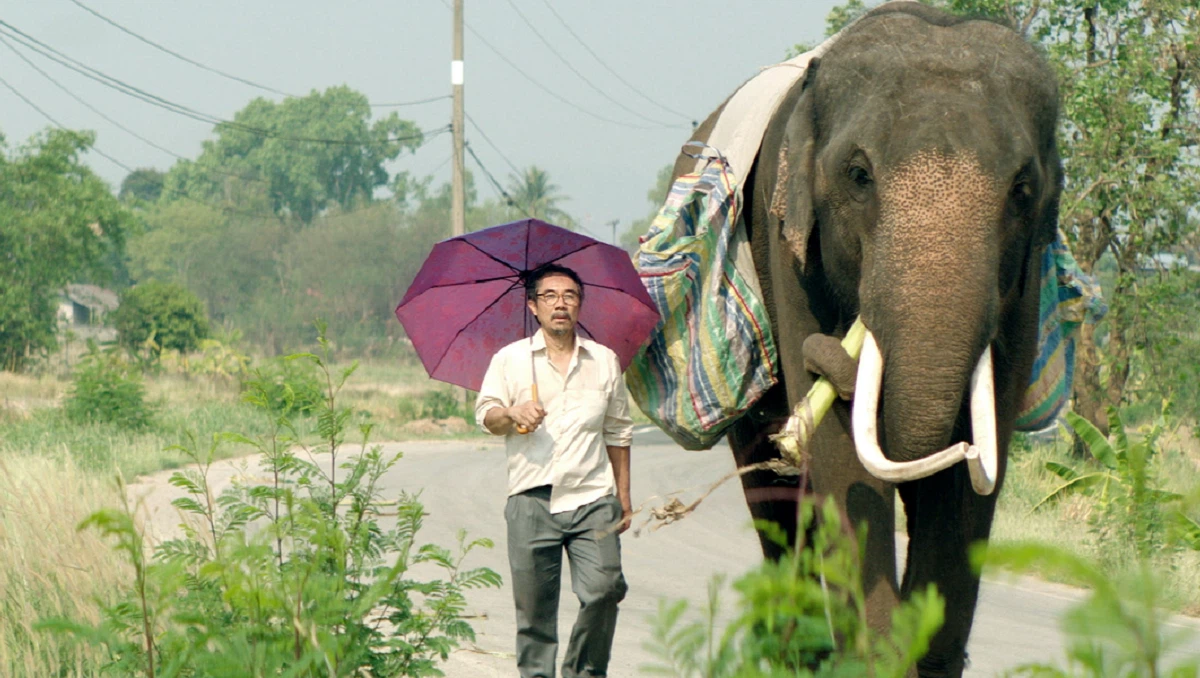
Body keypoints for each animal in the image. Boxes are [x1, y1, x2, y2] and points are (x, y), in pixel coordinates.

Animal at [672, 2, 1065, 672]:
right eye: (858, 175)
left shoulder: (1023, 287)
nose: (827, 358)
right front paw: (875, 659)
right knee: (775, 492)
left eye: (1022, 191)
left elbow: (976, 469)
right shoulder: (786, 235)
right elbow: (840, 461)